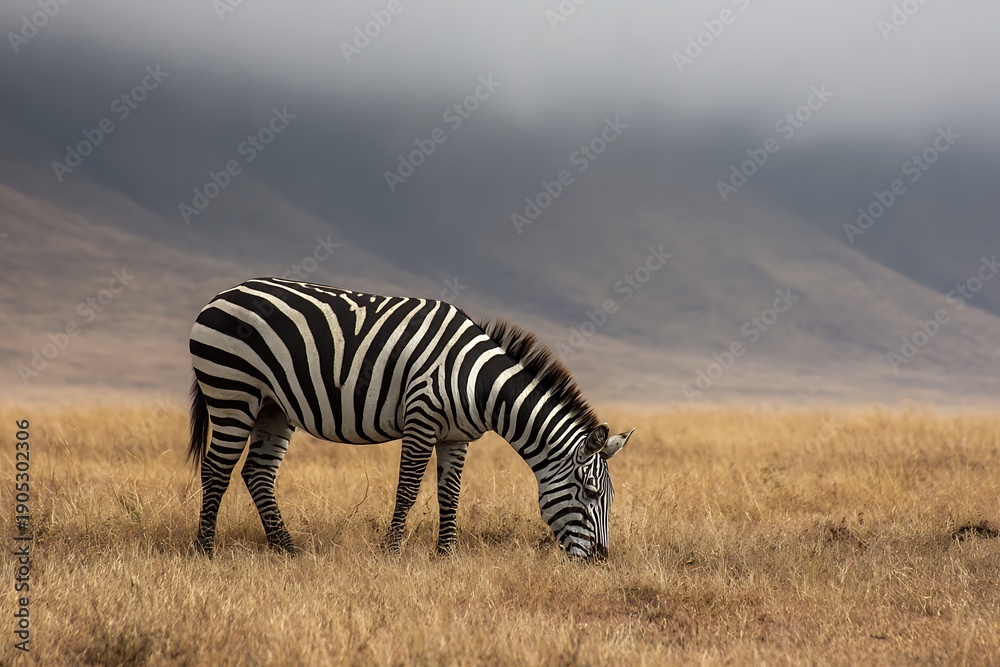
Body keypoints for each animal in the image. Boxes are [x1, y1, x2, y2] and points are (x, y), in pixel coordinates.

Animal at [188, 277, 634, 560]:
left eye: (610, 498)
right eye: (591, 493)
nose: (601, 560)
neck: (480, 385)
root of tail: (224, 293)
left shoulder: (456, 436)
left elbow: (449, 494)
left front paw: (446, 556)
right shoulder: (422, 419)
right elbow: (408, 489)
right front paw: (391, 553)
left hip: (273, 406)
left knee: (258, 472)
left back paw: (287, 549)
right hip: (231, 389)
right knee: (216, 469)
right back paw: (205, 550)